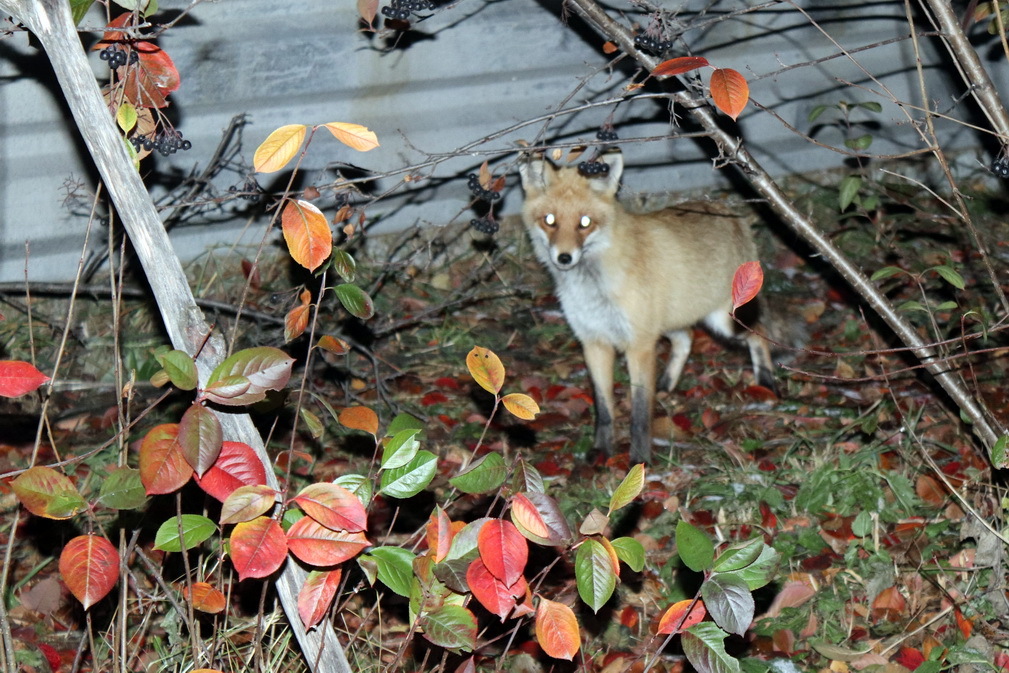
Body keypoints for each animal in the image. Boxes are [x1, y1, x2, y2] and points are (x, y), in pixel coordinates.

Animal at [516, 152, 774, 464]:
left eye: (585, 222)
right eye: (550, 220)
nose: (564, 258)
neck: (593, 289)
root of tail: (727, 210)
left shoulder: (639, 346)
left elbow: (639, 414)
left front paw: (639, 460)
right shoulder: (594, 342)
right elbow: (604, 409)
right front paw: (602, 450)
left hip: (723, 322)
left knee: (758, 333)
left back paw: (767, 383)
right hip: (671, 323)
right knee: (686, 339)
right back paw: (667, 384)